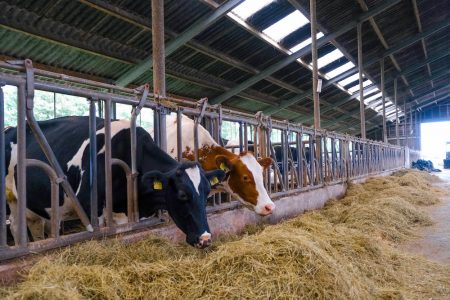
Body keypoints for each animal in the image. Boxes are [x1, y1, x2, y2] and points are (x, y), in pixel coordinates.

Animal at [3, 116, 221, 247]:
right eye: (183, 195)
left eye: (207, 192)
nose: (206, 239)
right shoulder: (89, 207)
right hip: (11, 198)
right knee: (16, 226)